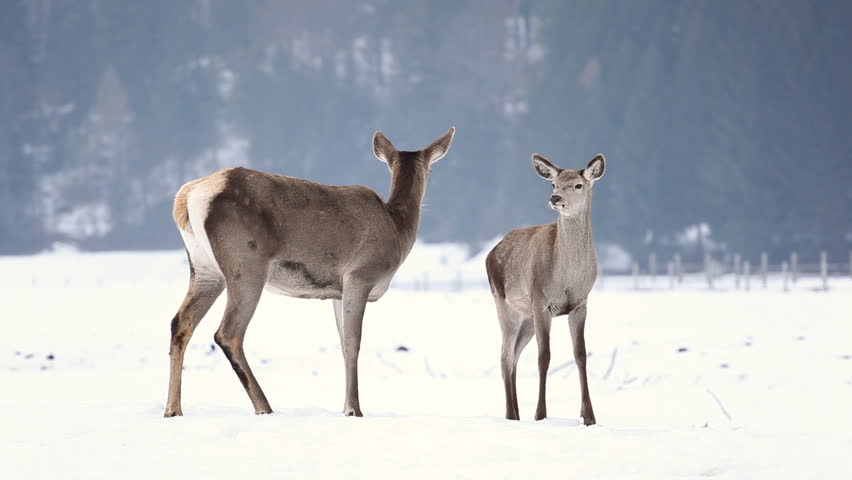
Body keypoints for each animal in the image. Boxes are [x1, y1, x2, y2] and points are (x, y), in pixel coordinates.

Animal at [164, 126, 456, 416]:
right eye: (431, 168)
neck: (397, 229)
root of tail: (187, 199)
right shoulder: (359, 275)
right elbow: (353, 342)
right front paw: (354, 409)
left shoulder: (337, 292)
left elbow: (342, 343)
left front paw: (345, 407)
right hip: (246, 263)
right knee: (228, 332)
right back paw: (264, 407)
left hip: (205, 268)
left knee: (180, 322)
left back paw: (173, 409)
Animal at [486, 151, 604, 424]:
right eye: (553, 183)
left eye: (578, 185)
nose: (555, 198)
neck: (567, 278)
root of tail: (492, 251)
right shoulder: (541, 301)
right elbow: (544, 357)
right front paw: (540, 414)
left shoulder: (580, 303)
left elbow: (581, 355)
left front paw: (589, 416)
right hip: (504, 303)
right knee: (505, 356)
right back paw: (512, 415)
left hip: (527, 317)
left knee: (514, 356)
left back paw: (516, 412)